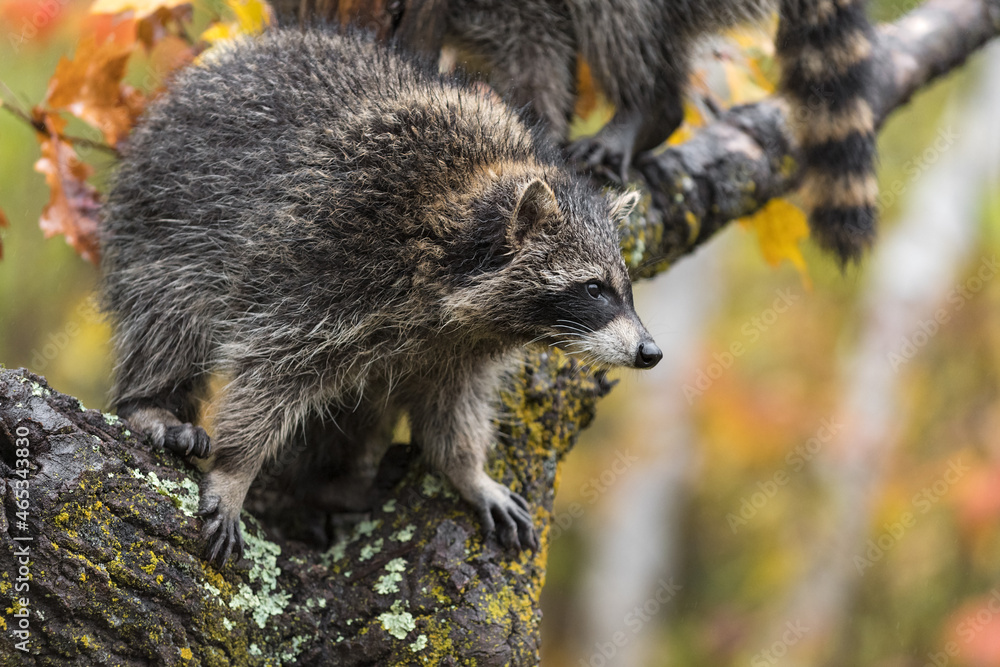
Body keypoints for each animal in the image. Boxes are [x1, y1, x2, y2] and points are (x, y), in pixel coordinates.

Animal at [99, 28, 662, 565]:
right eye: (594, 288)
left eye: (625, 288)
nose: (650, 352)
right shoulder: (326, 259)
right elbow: (269, 375)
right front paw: (235, 469)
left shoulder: (460, 346)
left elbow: (452, 405)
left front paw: (467, 470)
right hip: (159, 223)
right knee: (169, 318)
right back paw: (151, 402)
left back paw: (333, 487)